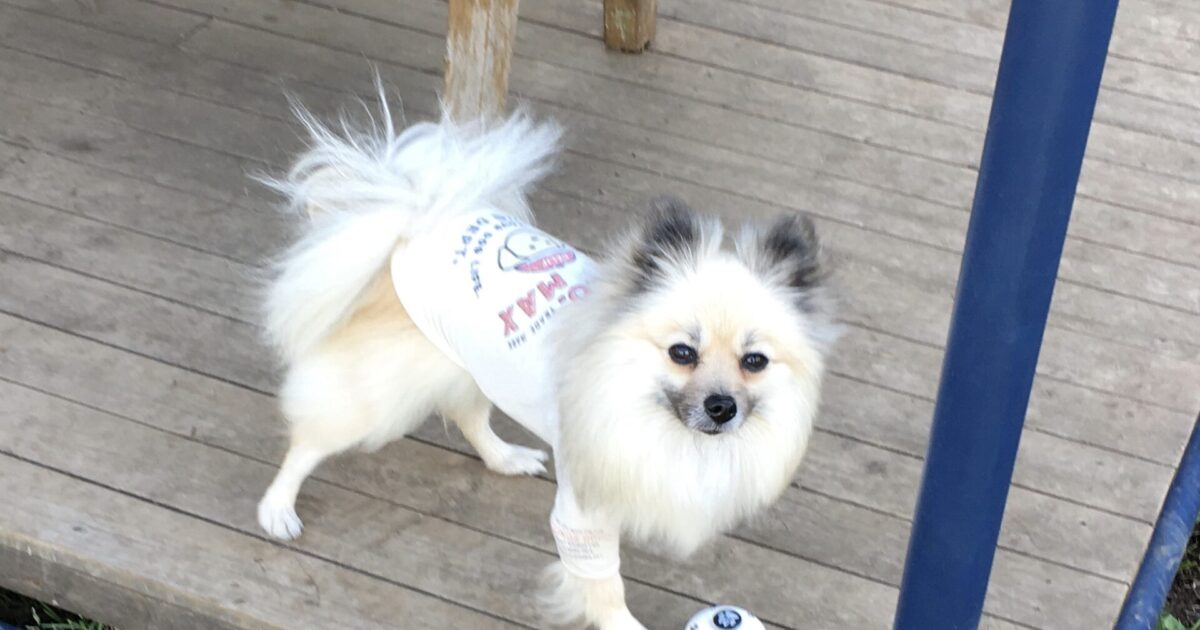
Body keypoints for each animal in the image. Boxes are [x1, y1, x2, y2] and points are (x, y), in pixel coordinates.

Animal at [255, 92, 838, 629]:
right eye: (682, 353)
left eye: (754, 361)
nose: (721, 407)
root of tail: (412, 225)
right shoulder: (583, 512)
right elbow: (604, 586)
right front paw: (621, 621)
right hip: (379, 393)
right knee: (310, 441)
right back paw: (277, 509)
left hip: (470, 364)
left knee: (469, 415)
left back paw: (505, 457)